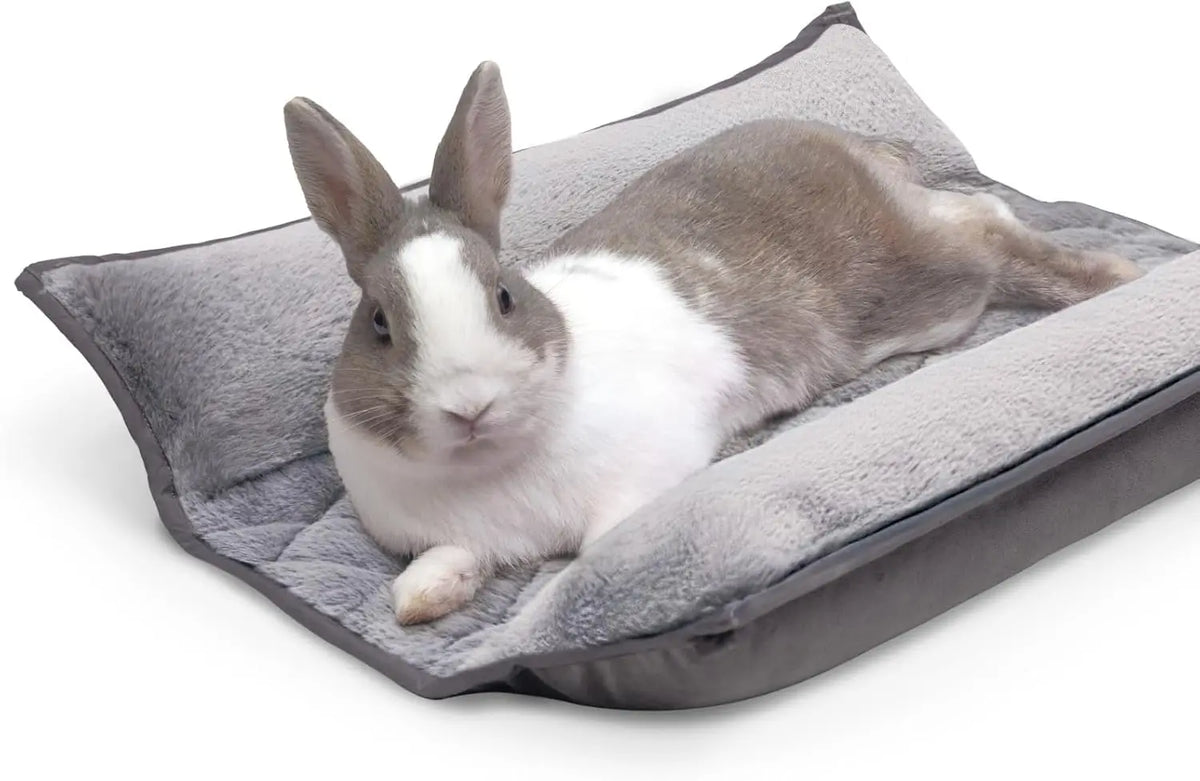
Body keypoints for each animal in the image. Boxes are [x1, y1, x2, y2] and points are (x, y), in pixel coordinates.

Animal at [284, 62, 1143, 625]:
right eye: (379, 323)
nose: (470, 403)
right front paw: (419, 601)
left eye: (504, 295)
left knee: (988, 225)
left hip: (933, 286)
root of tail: (857, 146)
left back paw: (1112, 276)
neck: (487, 466)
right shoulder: (455, 536)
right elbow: (441, 563)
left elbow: (598, 547)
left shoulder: (645, 471)